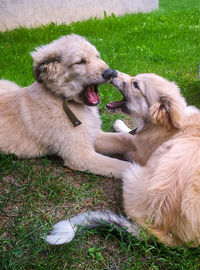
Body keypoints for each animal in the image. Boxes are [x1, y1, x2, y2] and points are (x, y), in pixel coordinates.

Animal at [0, 34, 133, 178]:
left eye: (97, 56)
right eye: (80, 61)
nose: (111, 73)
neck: (63, 99)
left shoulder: (93, 134)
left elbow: (124, 138)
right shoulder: (80, 155)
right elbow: (125, 166)